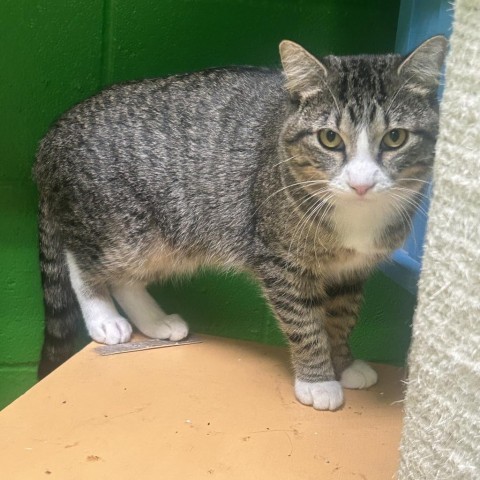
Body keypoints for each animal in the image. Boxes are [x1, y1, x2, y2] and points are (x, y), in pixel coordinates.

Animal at [35, 36, 448, 408]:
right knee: (81, 260)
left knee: (125, 278)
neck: (356, 217)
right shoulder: (280, 260)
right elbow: (304, 322)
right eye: (330, 138)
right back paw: (103, 317)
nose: (361, 183)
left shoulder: (351, 270)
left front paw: (343, 363)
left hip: (162, 236)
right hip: (121, 227)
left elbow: (341, 317)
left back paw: (155, 322)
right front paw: (318, 380)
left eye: (395, 137)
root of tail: (53, 134)